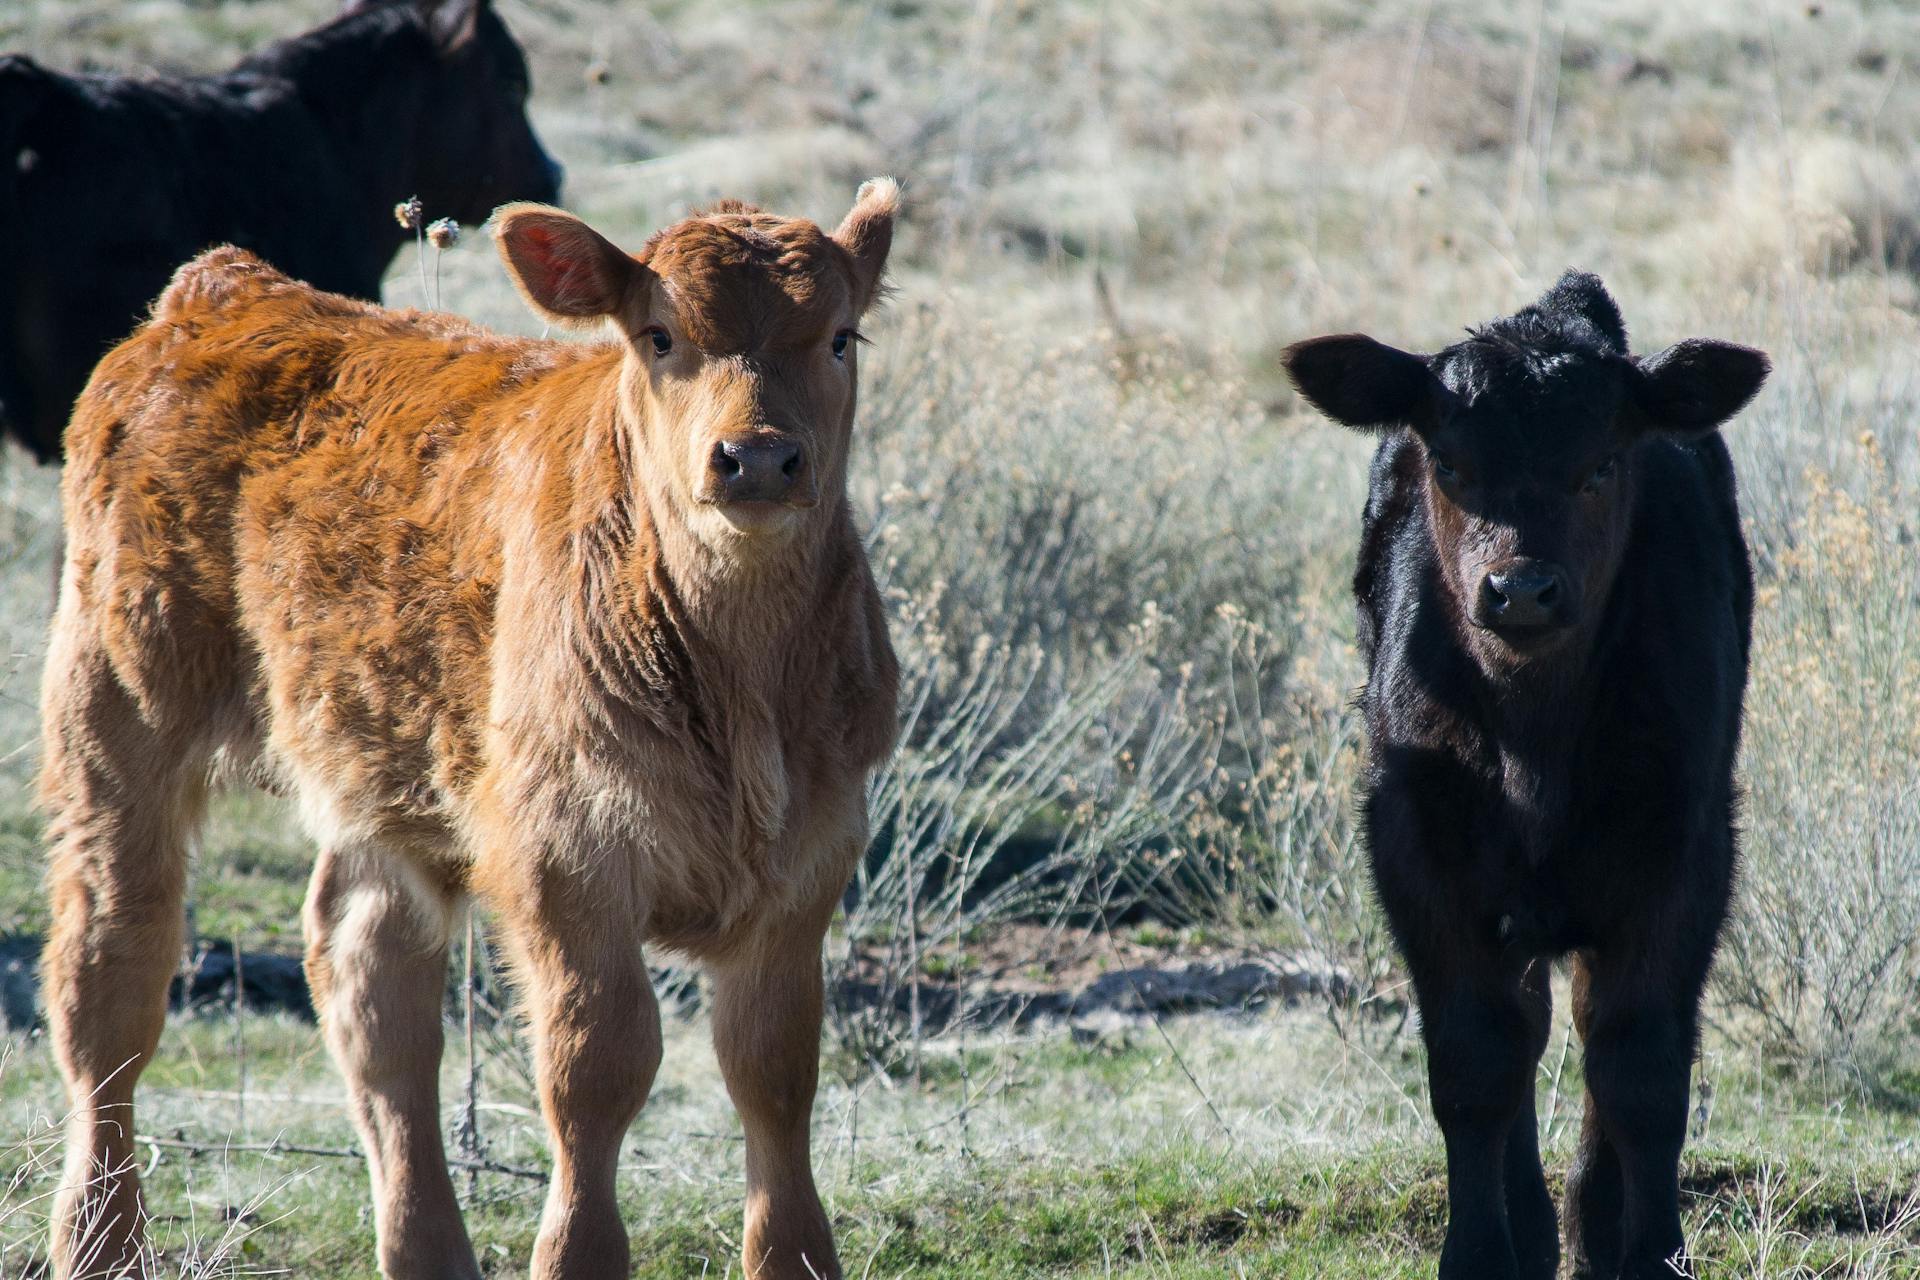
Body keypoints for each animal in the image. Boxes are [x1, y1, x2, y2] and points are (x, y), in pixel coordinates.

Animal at [37, 180, 902, 1280]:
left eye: (840, 337)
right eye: (660, 336)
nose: (756, 458)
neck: (741, 680)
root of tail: (225, 290)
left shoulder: (811, 856)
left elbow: (775, 1067)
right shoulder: (562, 853)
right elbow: (597, 1064)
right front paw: (576, 1253)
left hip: (384, 759)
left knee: (371, 979)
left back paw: (424, 1246)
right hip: (115, 705)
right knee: (111, 982)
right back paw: (99, 1238)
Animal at [1282, 272, 1758, 1280]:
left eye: (1603, 466)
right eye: (1450, 464)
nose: (1522, 590)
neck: (1533, 738)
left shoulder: (1686, 850)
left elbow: (1641, 1065)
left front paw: (1653, 1253)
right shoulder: (1417, 851)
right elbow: (1475, 1064)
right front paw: (1478, 1252)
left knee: (1582, 1024)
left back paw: (1591, 1224)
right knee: (1529, 1025)